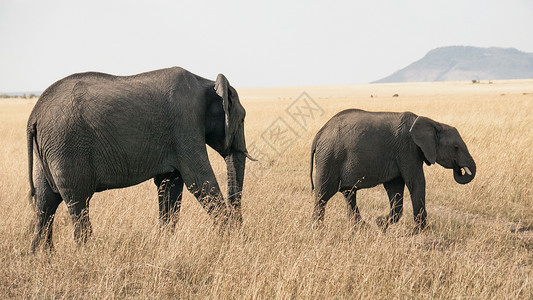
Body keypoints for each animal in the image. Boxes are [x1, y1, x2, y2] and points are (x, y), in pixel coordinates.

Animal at [27, 67, 254, 252]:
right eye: (243, 118)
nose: (240, 227)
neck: (207, 83)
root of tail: (33, 116)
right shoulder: (186, 123)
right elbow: (199, 181)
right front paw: (233, 243)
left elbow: (170, 185)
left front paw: (164, 245)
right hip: (66, 146)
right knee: (78, 201)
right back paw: (87, 254)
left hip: (47, 151)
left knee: (45, 203)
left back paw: (44, 257)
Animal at [310, 109, 476, 231]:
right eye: (456, 147)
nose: (460, 169)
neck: (433, 123)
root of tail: (318, 135)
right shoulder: (408, 149)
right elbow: (416, 183)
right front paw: (420, 231)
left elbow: (395, 187)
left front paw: (380, 223)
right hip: (329, 159)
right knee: (323, 195)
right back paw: (318, 229)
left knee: (349, 194)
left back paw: (361, 227)